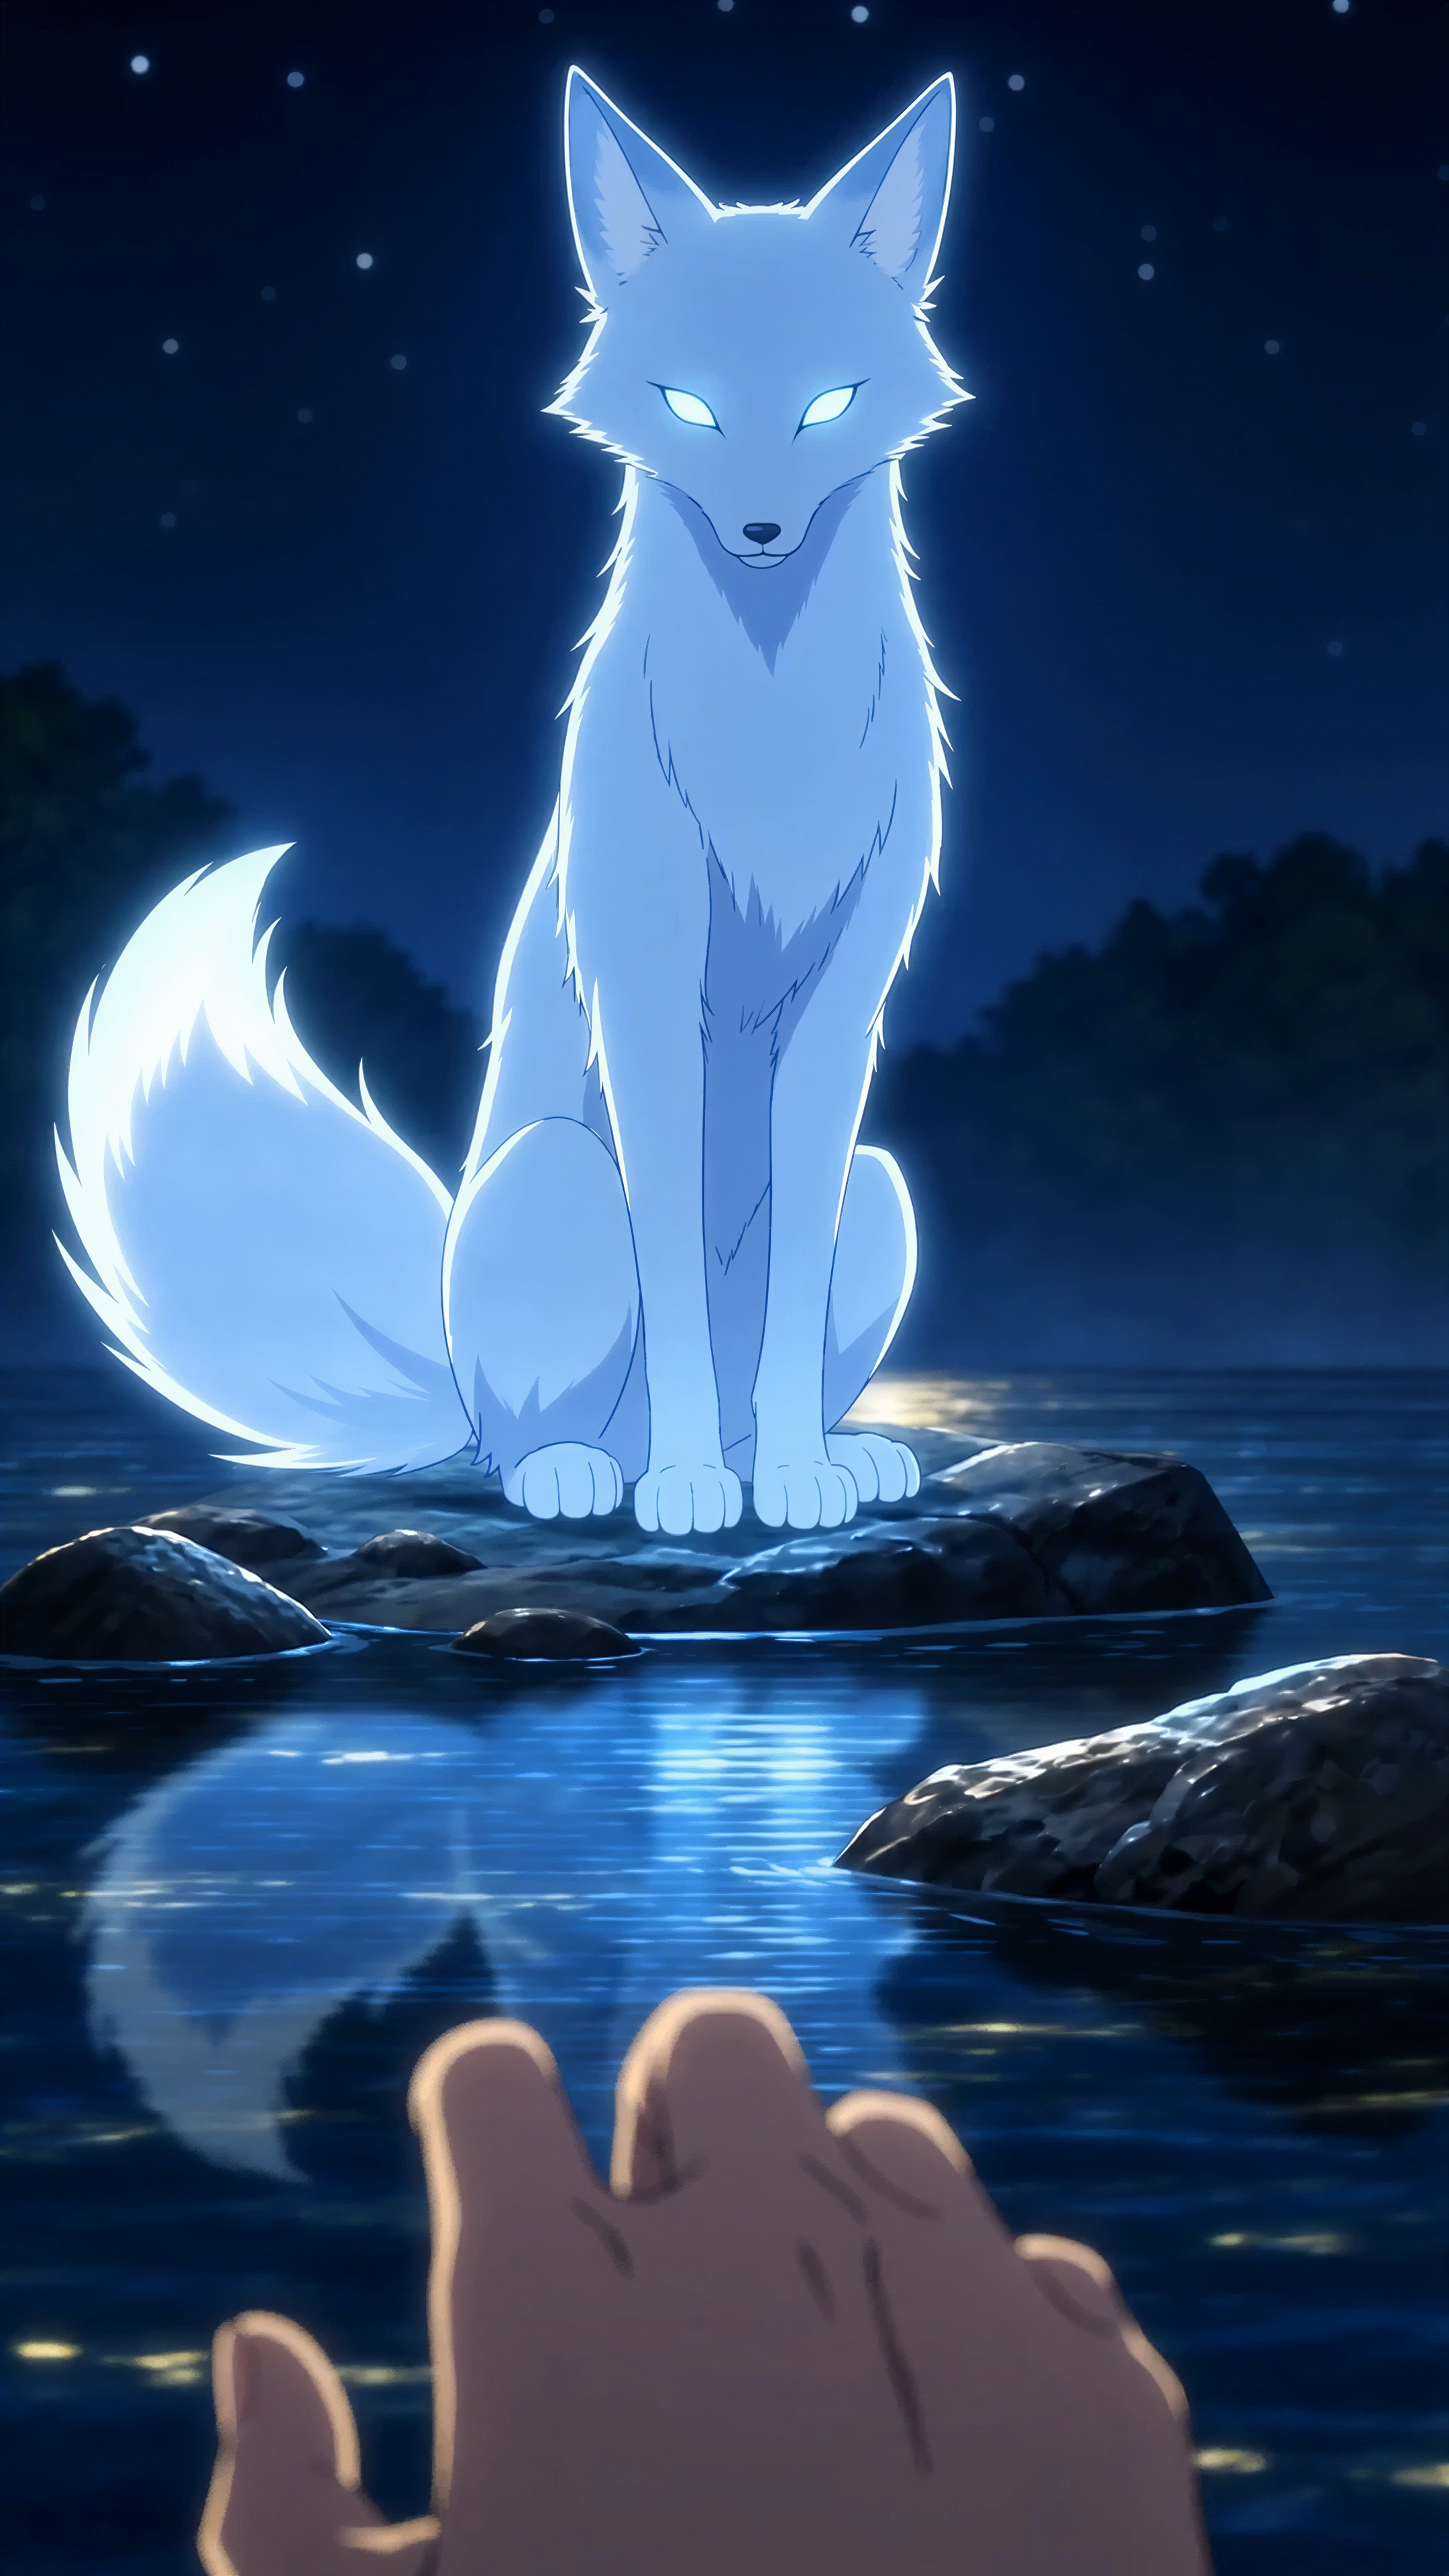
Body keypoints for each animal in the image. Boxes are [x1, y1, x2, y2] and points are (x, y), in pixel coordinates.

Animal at [56, 68, 969, 1537]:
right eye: (691, 406)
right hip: (554, 1171)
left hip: (880, 1196)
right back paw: (598, 1472)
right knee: (531, 1436)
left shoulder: (846, 1011)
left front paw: (789, 1478)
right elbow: (673, 1273)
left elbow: (775, 1324)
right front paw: (692, 1488)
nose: (763, 533)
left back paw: (821, 1457)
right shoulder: (646, 995)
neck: (768, 723)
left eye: (829, 402)